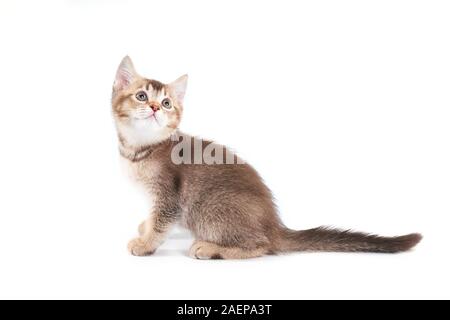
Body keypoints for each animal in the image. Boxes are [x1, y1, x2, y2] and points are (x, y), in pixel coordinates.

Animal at [110, 56, 420, 258]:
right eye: (141, 96)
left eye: (166, 103)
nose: (154, 108)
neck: (139, 149)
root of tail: (274, 226)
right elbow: (153, 218)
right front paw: (145, 227)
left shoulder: (168, 197)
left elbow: (161, 223)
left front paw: (145, 244)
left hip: (210, 211)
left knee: (261, 246)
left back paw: (211, 248)